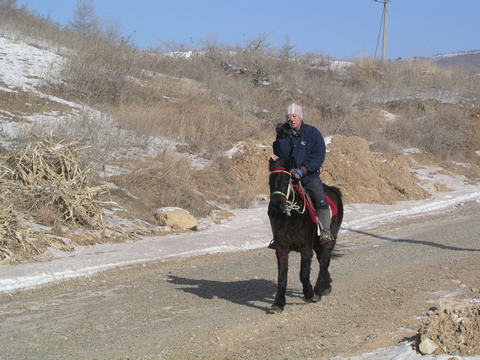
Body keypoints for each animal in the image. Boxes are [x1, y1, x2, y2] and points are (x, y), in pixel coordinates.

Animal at [268, 158, 344, 312]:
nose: (275, 205)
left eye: (286, 180)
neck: (291, 217)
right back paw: (326, 286)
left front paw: (309, 293)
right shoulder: (281, 249)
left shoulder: (306, 248)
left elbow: (303, 274)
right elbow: (282, 277)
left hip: (328, 240)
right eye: (270, 181)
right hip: (317, 244)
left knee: (324, 262)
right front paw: (278, 303)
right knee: (323, 260)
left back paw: (318, 290)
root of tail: (334, 191)